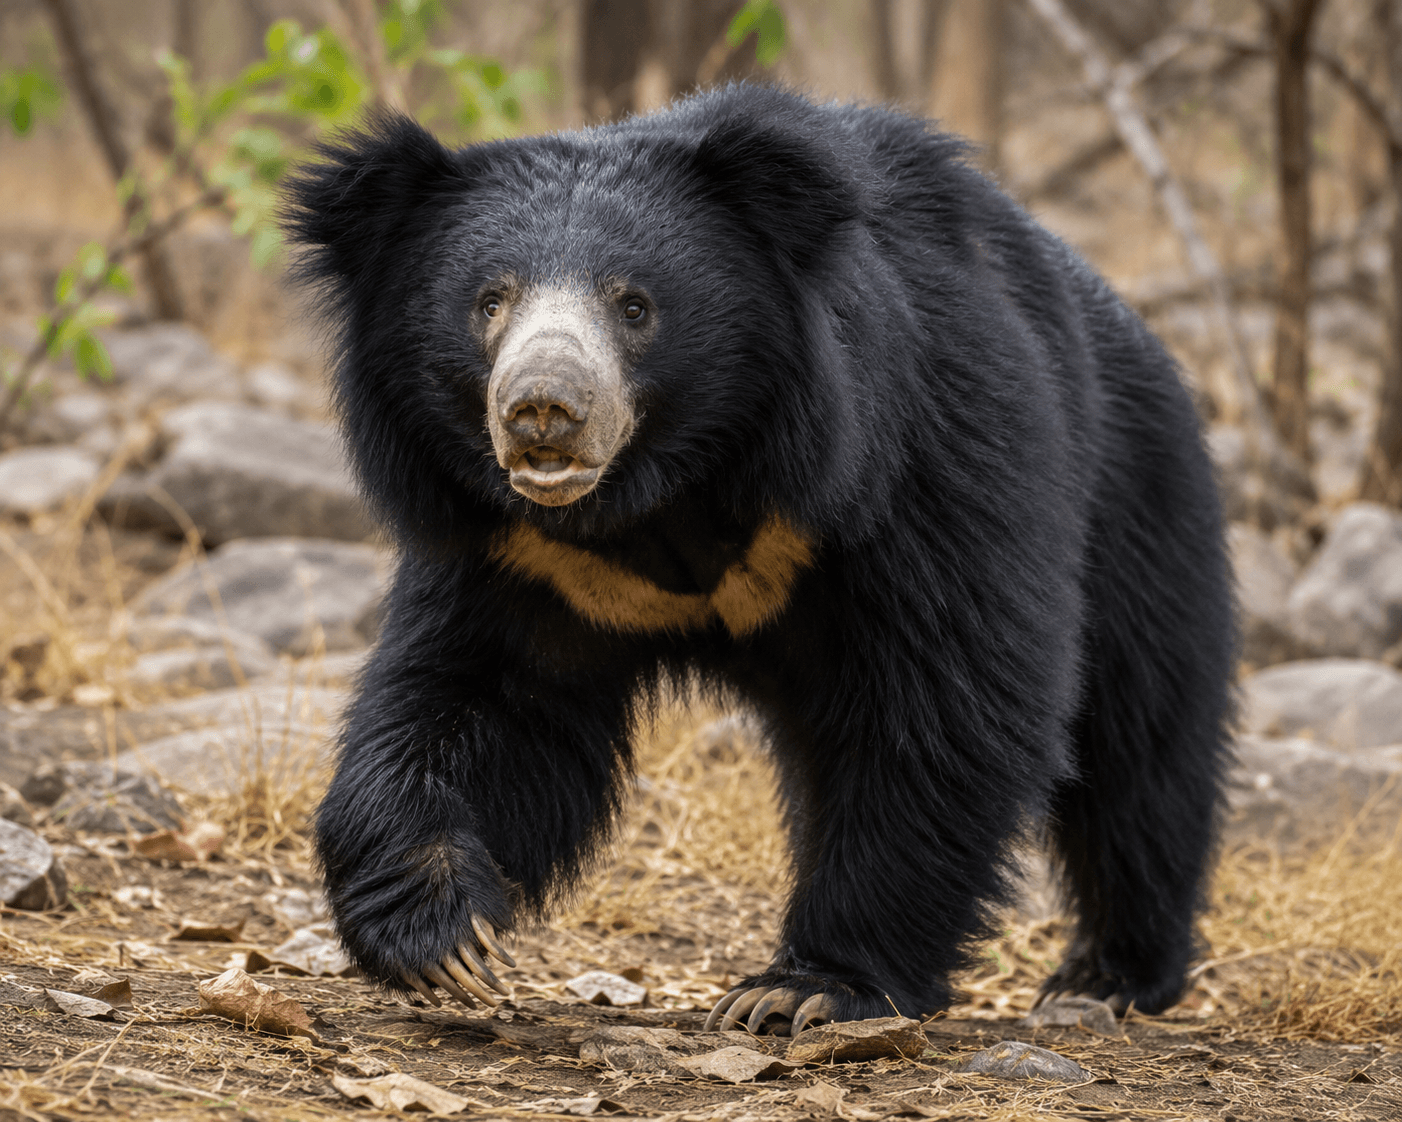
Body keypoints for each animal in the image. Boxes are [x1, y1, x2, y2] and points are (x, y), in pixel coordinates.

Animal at [283, 83, 1235, 1036]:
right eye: (489, 301)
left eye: (635, 306)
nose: (542, 409)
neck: (666, 492)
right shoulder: (525, 553)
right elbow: (483, 702)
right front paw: (442, 934)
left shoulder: (916, 461)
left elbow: (946, 702)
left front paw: (809, 987)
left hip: (1139, 504)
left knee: (1139, 750)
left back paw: (1107, 975)